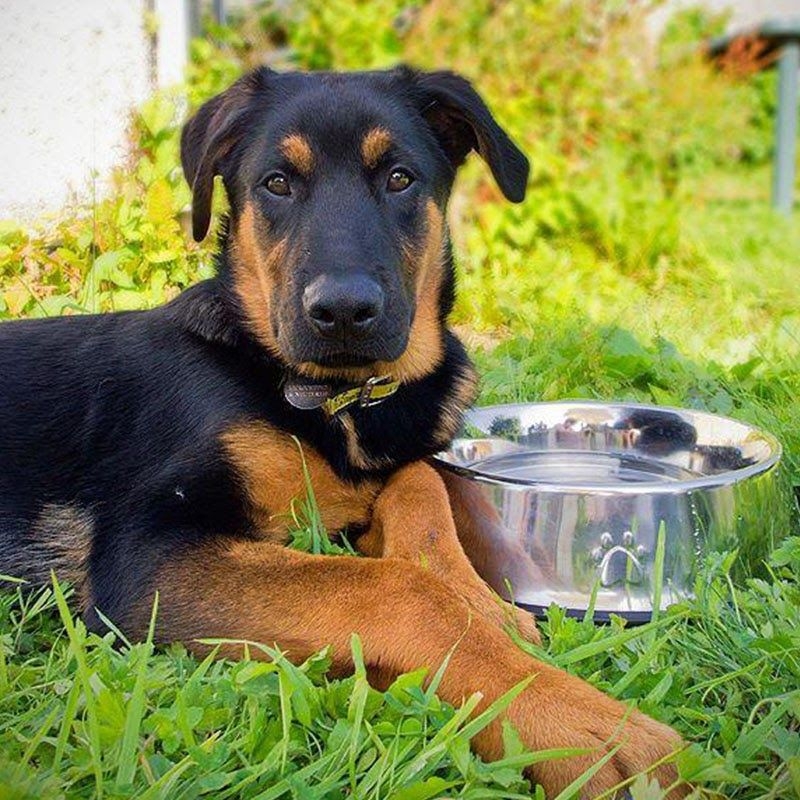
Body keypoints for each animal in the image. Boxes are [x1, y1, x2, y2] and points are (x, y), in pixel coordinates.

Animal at [0, 69, 688, 800]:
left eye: (399, 179)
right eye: (276, 183)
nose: (343, 312)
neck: (340, 400)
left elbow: (421, 483)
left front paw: (482, 602)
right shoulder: (144, 556)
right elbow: (396, 588)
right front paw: (586, 726)